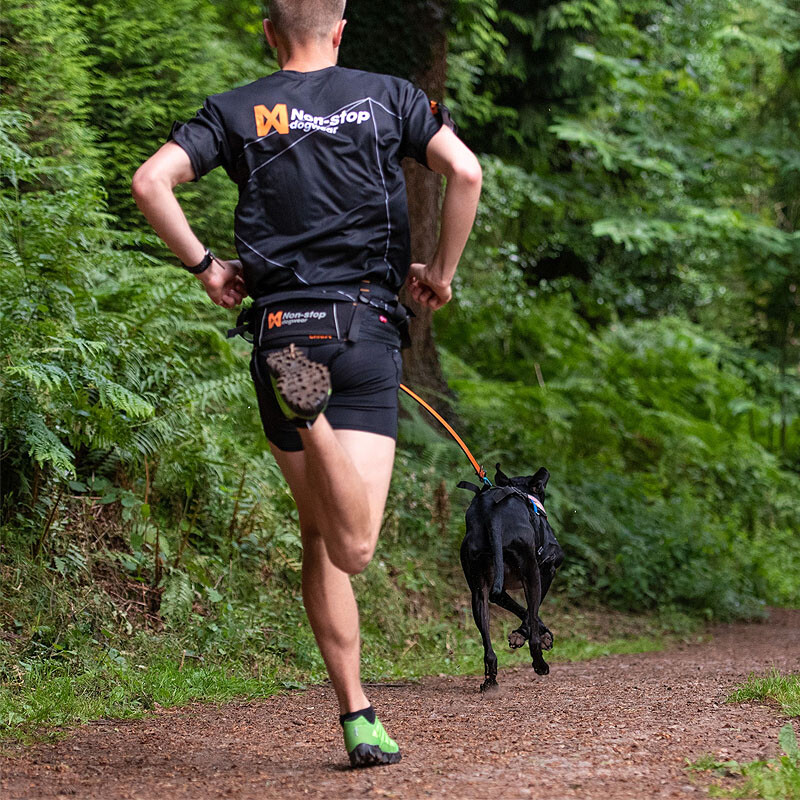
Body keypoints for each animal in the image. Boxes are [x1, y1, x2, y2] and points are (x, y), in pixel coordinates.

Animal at [460, 466, 564, 692]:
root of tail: (492, 514)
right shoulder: (546, 571)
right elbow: (531, 613)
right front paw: (535, 635)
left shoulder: (499, 593)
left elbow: (521, 610)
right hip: (532, 573)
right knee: (532, 636)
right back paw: (540, 664)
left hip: (478, 593)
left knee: (489, 651)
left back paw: (490, 681)